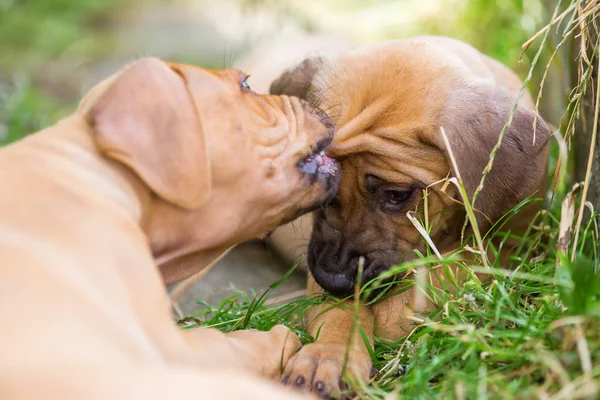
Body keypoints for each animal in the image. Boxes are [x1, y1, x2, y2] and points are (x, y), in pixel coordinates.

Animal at [268, 36, 552, 396]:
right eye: (324, 185)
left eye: (397, 195)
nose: (333, 279)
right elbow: (337, 312)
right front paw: (328, 356)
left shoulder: (519, 243)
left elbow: (460, 265)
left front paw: (398, 310)